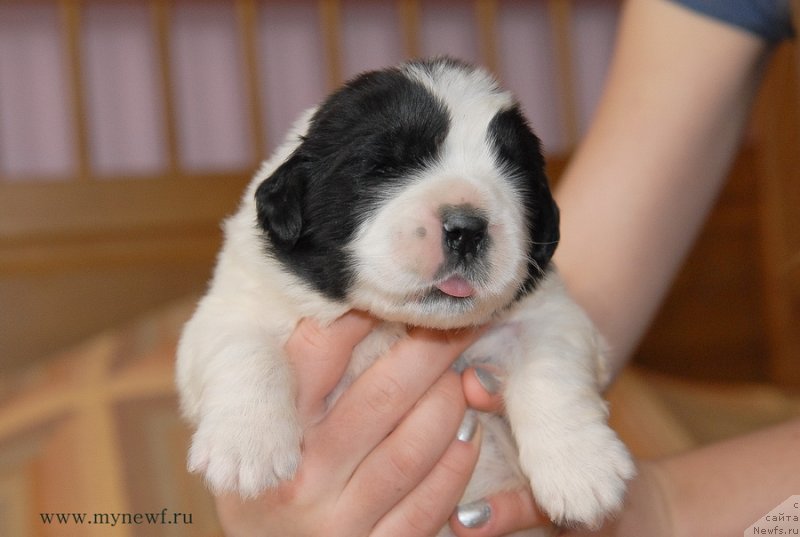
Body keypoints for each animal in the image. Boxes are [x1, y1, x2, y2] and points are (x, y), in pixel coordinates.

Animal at [178, 56, 636, 532]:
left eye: (514, 176)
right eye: (385, 167)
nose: (466, 229)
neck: (396, 325)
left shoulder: (551, 313)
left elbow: (551, 368)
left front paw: (583, 470)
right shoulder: (230, 305)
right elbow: (246, 350)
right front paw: (246, 448)